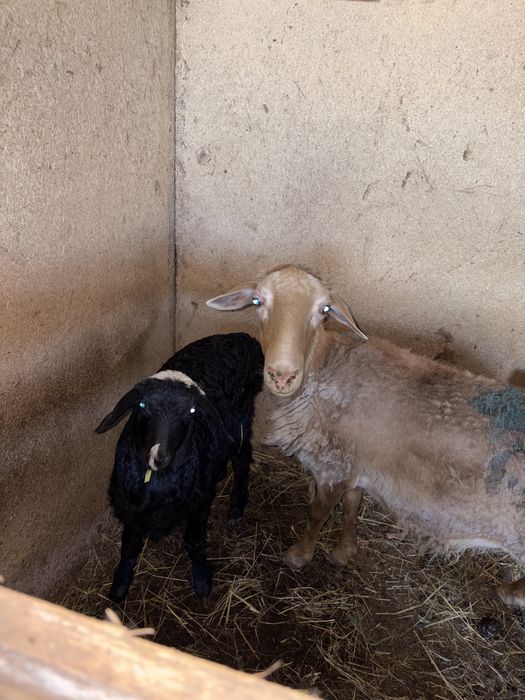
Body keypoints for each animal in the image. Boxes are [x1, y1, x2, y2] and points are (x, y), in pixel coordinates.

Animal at [95, 333, 264, 603]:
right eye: (141, 406)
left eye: (192, 411)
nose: (159, 455)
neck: (155, 481)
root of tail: (243, 337)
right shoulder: (129, 506)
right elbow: (129, 546)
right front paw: (120, 585)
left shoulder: (198, 504)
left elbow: (193, 542)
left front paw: (202, 579)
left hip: (240, 419)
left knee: (242, 457)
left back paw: (237, 507)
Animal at [207, 265, 525, 607]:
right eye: (257, 301)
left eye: (324, 310)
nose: (282, 376)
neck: (327, 367)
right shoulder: (352, 462)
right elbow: (351, 505)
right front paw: (344, 551)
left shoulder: (333, 466)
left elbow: (317, 513)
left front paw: (299, 555)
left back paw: (509, 594)